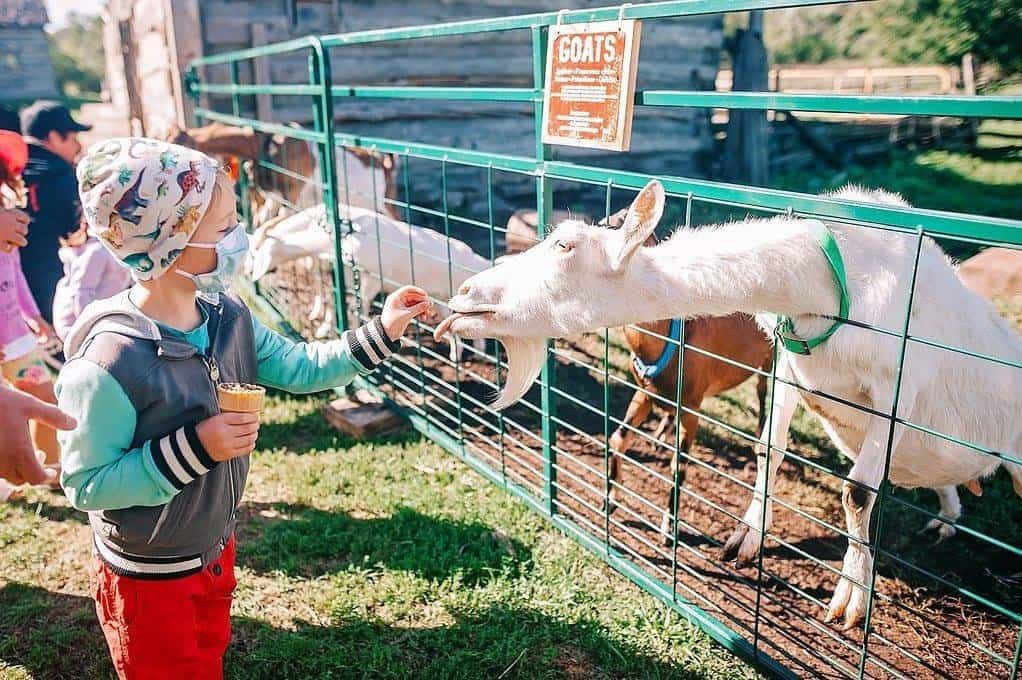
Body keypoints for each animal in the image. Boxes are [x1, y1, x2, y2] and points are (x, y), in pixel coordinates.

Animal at [246, 204, 486, 359]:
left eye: (256, 252)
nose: (247, 272)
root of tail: (474, 259)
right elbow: (332, 299)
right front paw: (324, 328)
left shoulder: (369, 282)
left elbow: (356, 309)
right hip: (442, 299)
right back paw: (457, 355)